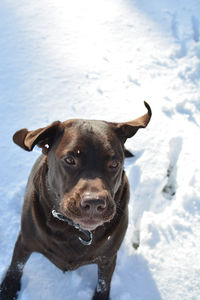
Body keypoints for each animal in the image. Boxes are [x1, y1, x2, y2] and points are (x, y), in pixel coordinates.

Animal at [0, 102, 152, 298]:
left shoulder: (108, 258)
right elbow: (16, 266)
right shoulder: (25, 241)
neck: (74, 230)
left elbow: (104, 284)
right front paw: (7, 290)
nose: (94, 203)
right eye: (70, 159)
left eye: (114, 164)